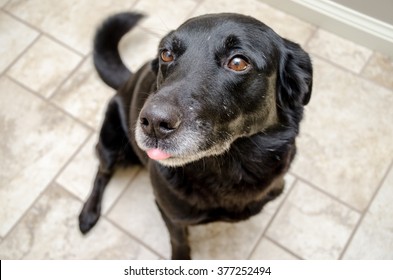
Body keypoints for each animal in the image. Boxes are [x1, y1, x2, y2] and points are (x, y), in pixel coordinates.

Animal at [79, 12, 312, 260]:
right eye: (166, 54)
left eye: (238, 62)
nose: (153, 123)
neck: (229, 167)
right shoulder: (171, 215)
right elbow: (179, 240)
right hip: (110, 143)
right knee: (101, 172)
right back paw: (88, 214)